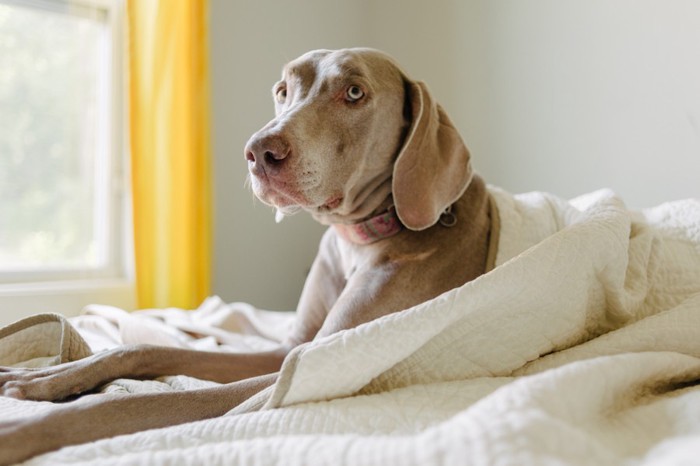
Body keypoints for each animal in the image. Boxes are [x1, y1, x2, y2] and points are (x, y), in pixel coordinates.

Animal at [0, 47, 492, 462]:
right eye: (282, 90)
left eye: (355, 92)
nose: (258, 151)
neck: (355, 241)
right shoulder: (292, 350)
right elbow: (139, 346)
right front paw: (39, 377)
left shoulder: (315, 366)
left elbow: (138, 403)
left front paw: (24, 431)